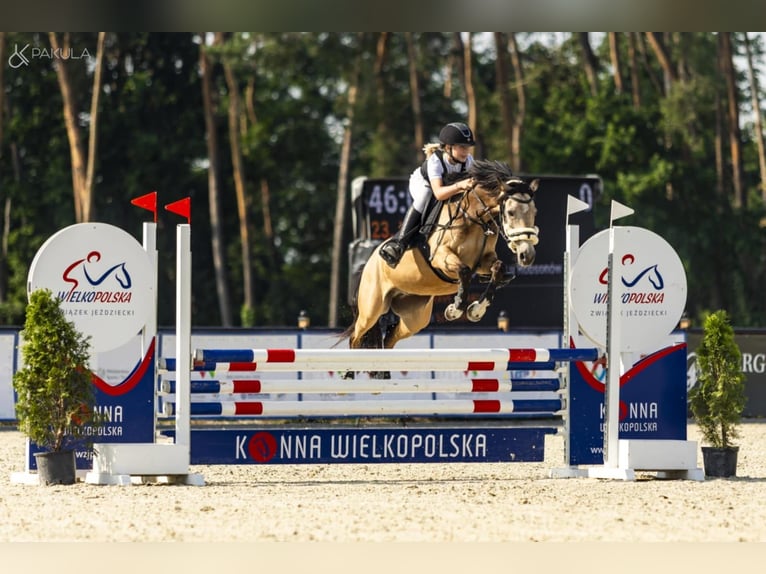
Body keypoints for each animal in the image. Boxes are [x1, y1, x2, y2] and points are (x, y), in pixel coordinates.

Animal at [343, 159, 539, 352]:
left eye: (534, 212)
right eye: (510, 212)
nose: (527, 255)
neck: (473, 217)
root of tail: (368, 264)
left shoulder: (484, 260)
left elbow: (498, 268)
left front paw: (476, 310)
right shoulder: (440, 257)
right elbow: (464, 271)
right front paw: (455, 309)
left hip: (415, 316)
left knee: (390, 339)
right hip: (372, 308)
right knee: (356, 337)